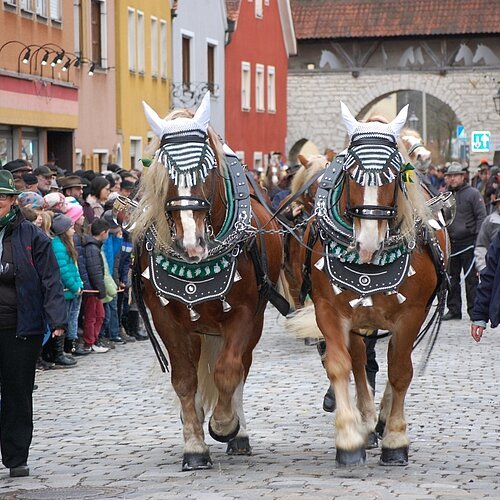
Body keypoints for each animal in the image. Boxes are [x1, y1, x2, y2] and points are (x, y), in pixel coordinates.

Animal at [129, 92, 286, 470]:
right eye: (163, 170)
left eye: (207, 167)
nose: (192, 242)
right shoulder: (167, 319)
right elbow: (185, 379)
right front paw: (195, 447)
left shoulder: (244, 313)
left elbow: (228, 371)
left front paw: (226, 424)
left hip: (252, 321)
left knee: (240, 366)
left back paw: (238, 433)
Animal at [290, 103, 450, 466]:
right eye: (351, 173)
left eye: (393, 174)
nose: (366, 243)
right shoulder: (331, 312)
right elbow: (341, 365)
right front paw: (350, 437)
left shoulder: (411, 315)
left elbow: (401, 371)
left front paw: (395, 439)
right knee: (362, 361)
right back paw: (366, 420)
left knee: (394, 363)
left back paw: (383, 418)